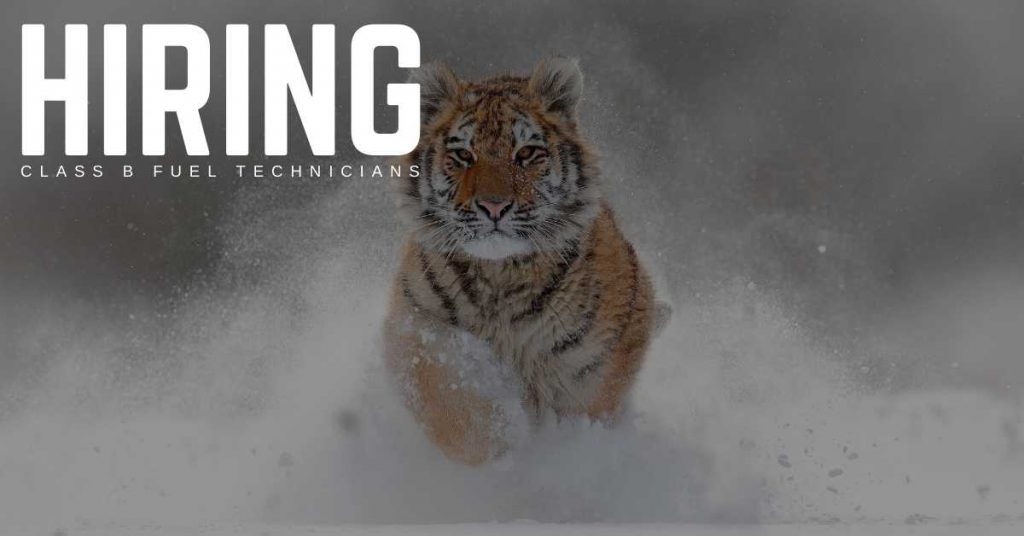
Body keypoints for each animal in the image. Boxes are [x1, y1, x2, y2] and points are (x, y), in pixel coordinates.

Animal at [383, 57, 670, 465]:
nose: (493, 206)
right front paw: (500, 442)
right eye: (464, 155)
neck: (501, 275)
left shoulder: (594, 363)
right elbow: (449, 397)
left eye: (526, 153)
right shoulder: (415, 326)